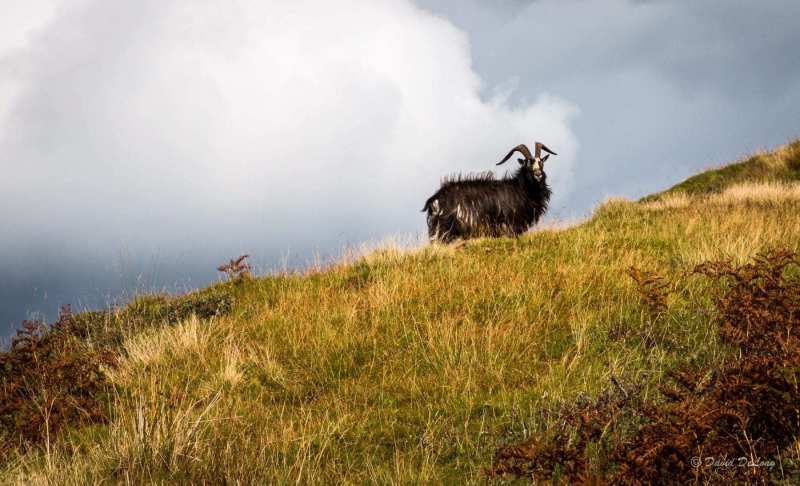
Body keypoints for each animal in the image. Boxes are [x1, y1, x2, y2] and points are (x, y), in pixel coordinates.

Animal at [424, 143, 556, 243]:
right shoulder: (511, 226)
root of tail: (435, 199)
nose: (538, 174)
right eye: (527, 164)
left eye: (541, 162)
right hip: (445, 230)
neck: (520, 188)